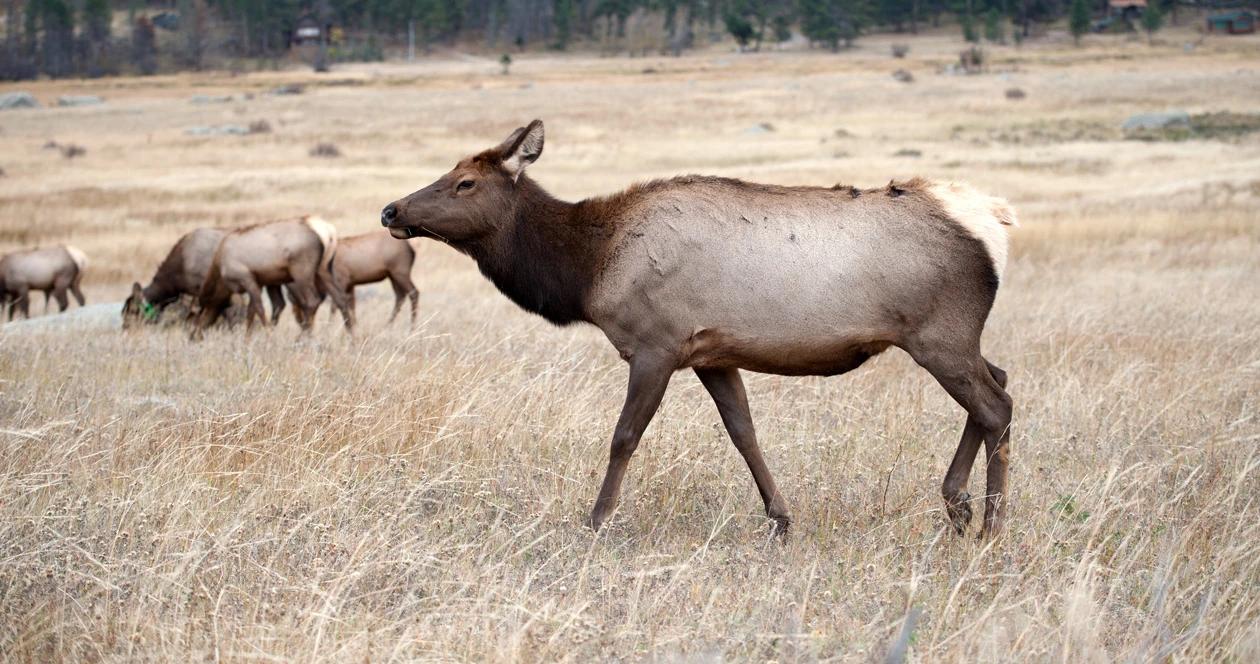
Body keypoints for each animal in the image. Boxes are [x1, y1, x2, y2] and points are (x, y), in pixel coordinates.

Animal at [191, 215, 352, 337]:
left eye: (198, 315)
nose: (193, 336)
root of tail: (329, 233)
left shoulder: (246, 278)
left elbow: (259, 309)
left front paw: (267, 336)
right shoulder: (265, 281)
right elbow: (255, 310)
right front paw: (247, 339)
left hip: (302, 271)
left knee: (312, 301)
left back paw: (303, 338)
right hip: (324, 270)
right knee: (341, 299)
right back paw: (352, 339)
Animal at [378, 120, 1018, 539]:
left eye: (465, 183)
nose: (390, 210)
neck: (586, 270)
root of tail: (993, 220)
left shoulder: (655, 344)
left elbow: (623, 436)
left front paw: (597, 519)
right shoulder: (713, 353)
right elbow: (745, 434)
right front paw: (780, 519)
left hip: (939, 335)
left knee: (997, 405)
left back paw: (989, 523)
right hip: (953, 339)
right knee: (1001, 381)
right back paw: (958, 504)